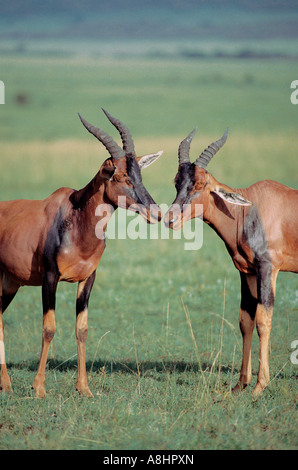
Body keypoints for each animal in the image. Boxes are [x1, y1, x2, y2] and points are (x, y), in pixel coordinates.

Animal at [0, 109, 163, 396]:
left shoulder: (88, 279)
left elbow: (82, 329)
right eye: (119, 176)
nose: (156, 213)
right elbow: (49, 328)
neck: (75, 217)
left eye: (139, 175)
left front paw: (84, 388)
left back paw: (5, 384)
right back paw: (7, 384)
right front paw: (39, 388)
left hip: (11, 283)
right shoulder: (50, 278)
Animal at [164, 126, 296, 394]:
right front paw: (240, 384)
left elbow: (263, 320)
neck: (251, 209)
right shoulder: (247, 271)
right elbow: (246, 320)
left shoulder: (268, 268)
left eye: (200, 183)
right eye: (176, 181)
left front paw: (259, 386)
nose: (170, 219)